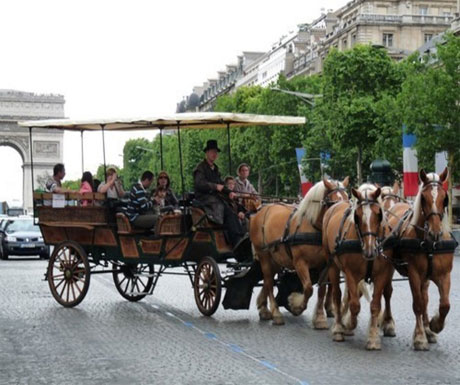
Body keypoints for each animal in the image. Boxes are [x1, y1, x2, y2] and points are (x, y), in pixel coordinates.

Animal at [250, 177, 350, 324]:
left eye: (348, 199)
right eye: (333, 203)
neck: (313, 226)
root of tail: (262, 209)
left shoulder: (325, 264)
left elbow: (322, 289)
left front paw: (320, 317)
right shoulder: (300, 263)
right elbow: (308, 288)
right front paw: (296, 306)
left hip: (276, 259)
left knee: (269, 280)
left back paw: (263, 308)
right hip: (264, 256)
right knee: (268, 281)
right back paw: (276, 313)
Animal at [322, 183, 394, 348]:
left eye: (378, 214)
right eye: (357, 216)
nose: (370, 250)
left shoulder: (381, 275)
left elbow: (375, 305)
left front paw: (373, 338)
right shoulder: (350, 273)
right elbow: (354, 305)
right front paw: (348, 325)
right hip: (332, 264)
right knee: (337, 294)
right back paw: (338, 327)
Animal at [386, 166, 454, 350]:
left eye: (445, 198)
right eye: (423, 198)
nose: (435, 233)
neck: (429, 244)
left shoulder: (444, 275)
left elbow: (445, 305)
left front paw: (434, 325)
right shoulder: (414, 274)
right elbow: (417, 304)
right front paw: (419, 337)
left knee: (425, 298)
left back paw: (427, 328)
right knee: (387, 293)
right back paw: (388, 324)